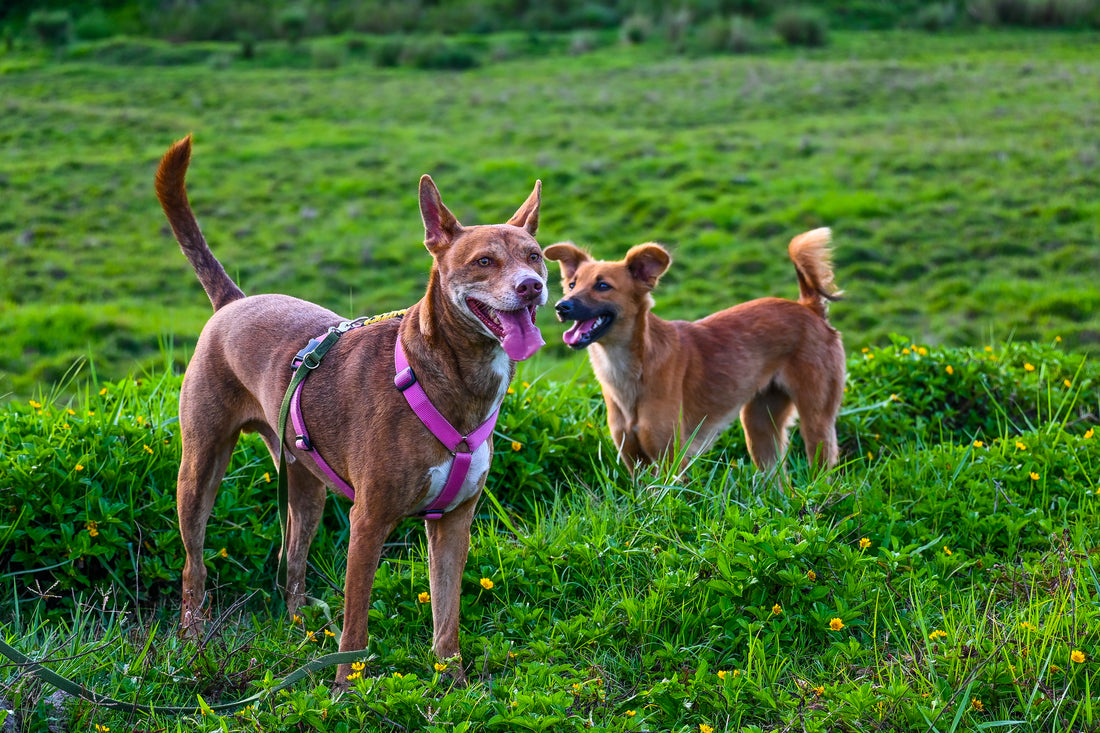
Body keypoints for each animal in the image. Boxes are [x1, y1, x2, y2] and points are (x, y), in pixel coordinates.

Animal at [155, 135, 550, 677]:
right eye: (484, 261)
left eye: (536, 256)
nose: (532, 286)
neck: (449, 379)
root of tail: (233, 302)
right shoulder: (368, 523)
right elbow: (355, 628)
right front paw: (346, 685)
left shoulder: (454, 524)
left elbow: (446, 618)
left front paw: (454, 681)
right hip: (200, 469)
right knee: (193, 563)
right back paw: (193, 637)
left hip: (305, 486)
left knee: (292, 558)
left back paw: (298, 630)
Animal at [545, 228, 844, 473]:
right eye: (572, 284)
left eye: (603, 285)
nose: (561, 306)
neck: (631, 369)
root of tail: (808, 308)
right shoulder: (635, 462)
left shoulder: (671, 462)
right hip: (759, 426)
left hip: (816, 421)